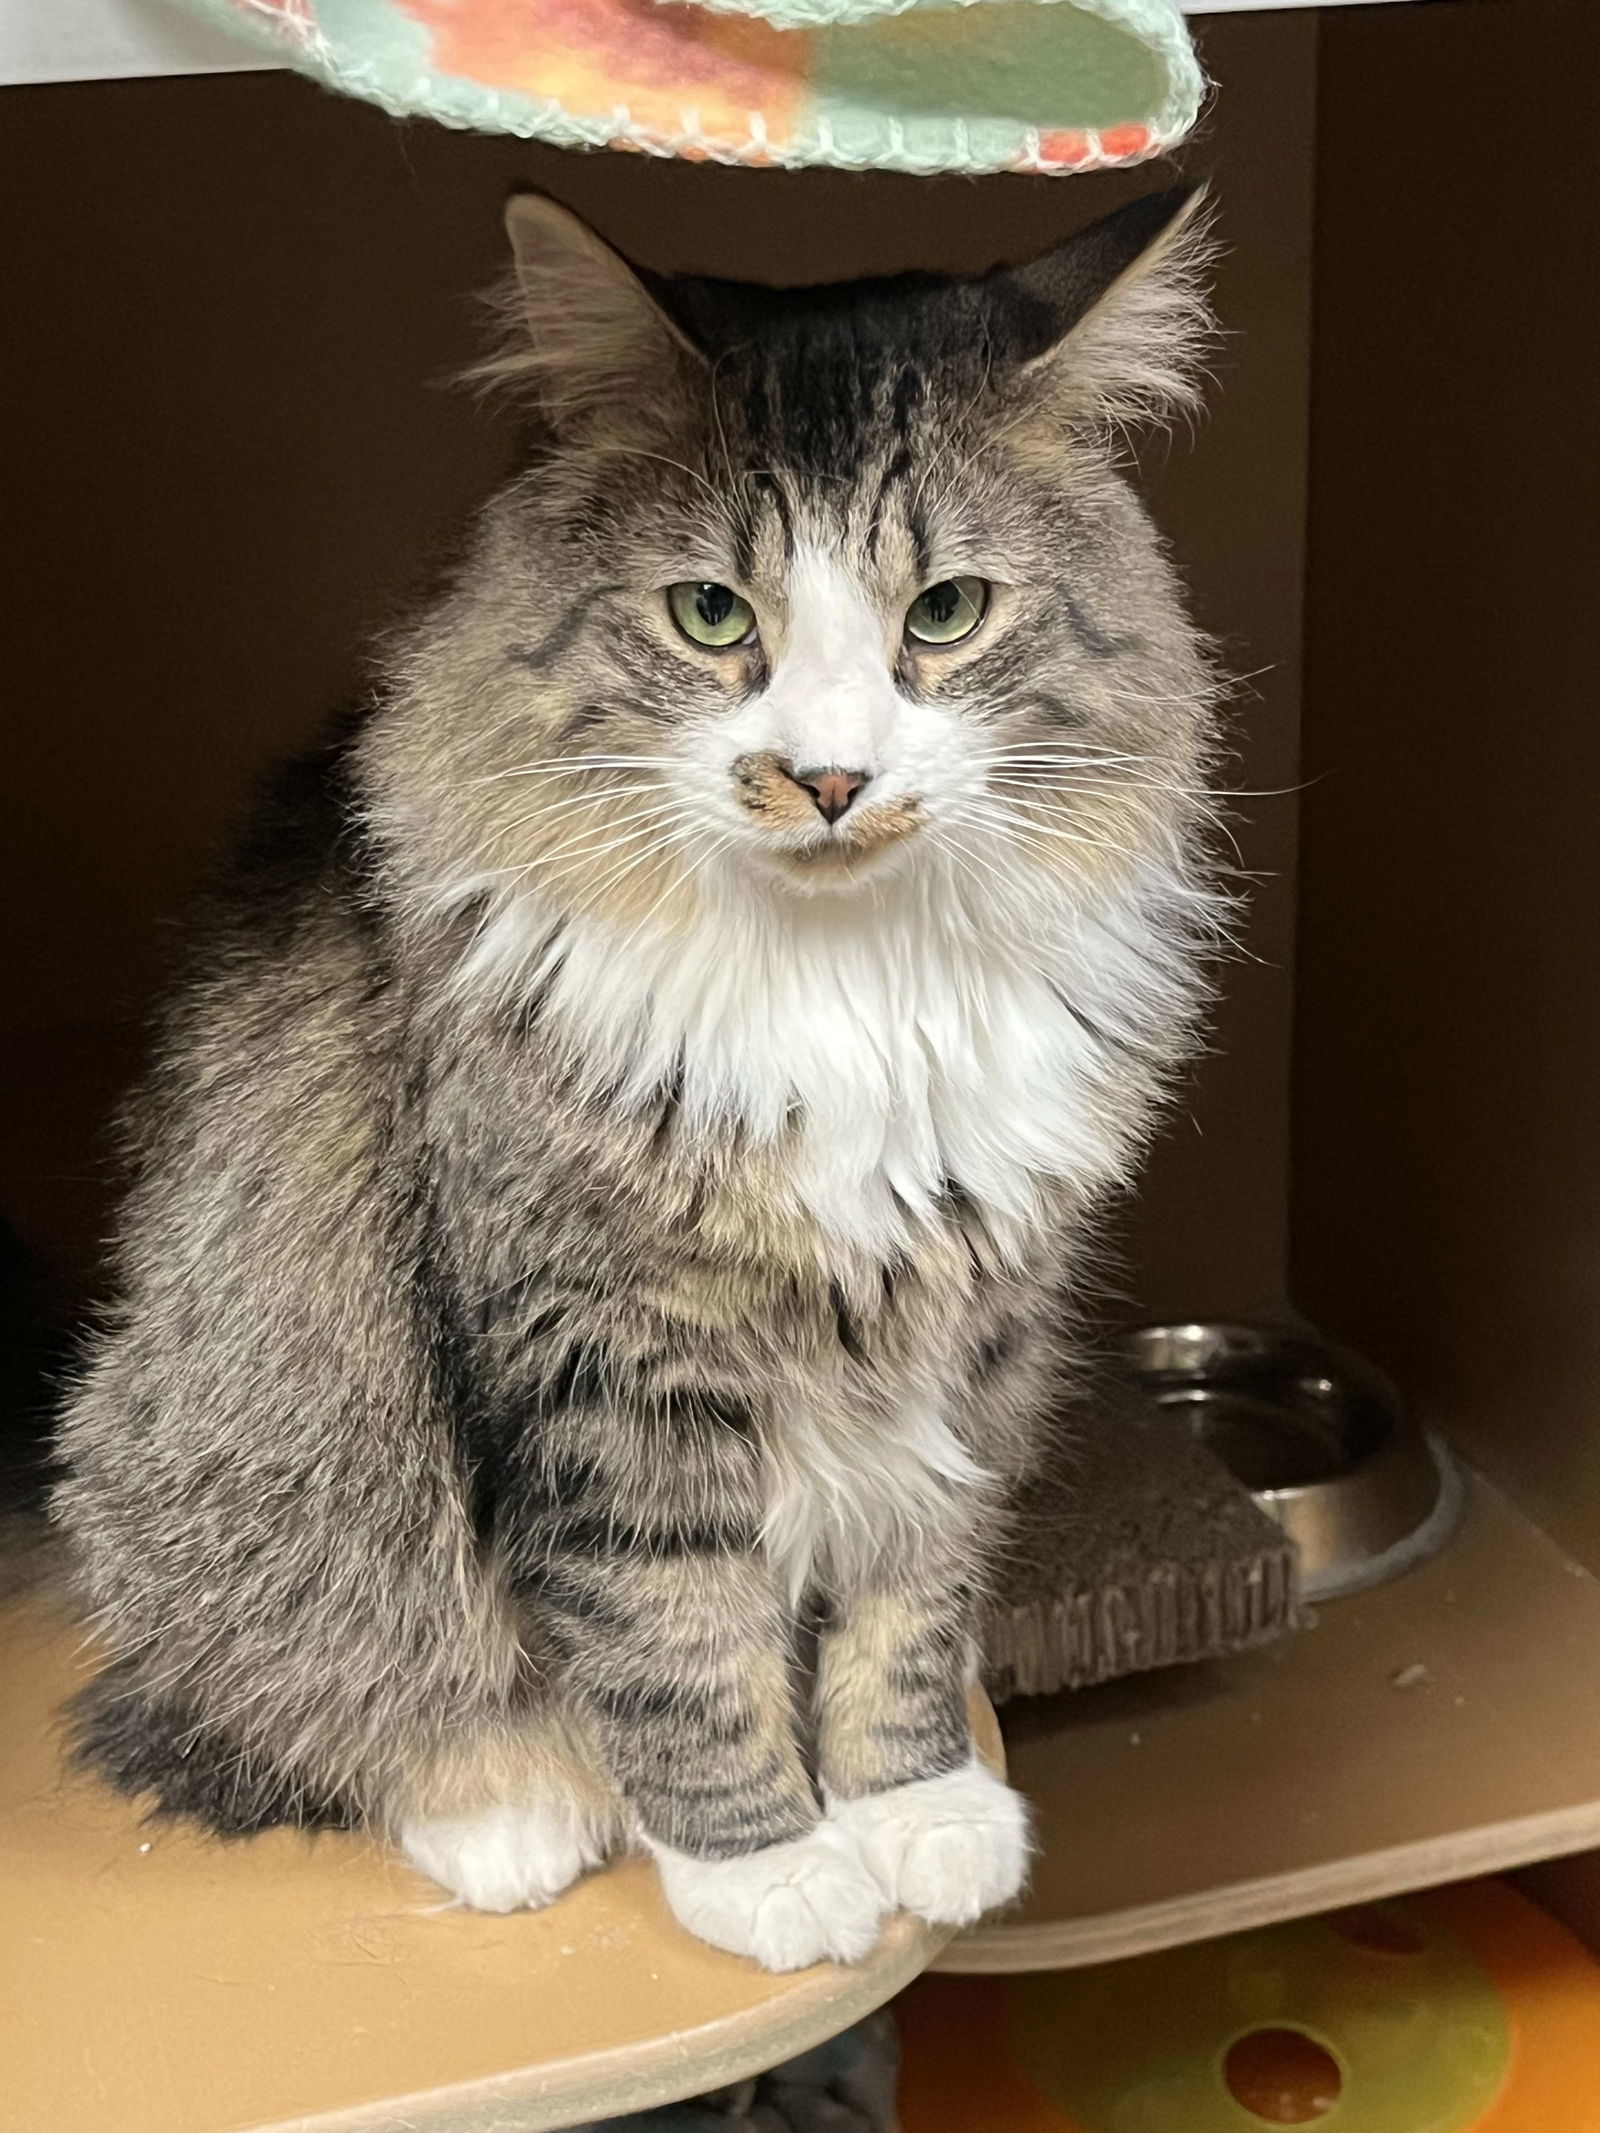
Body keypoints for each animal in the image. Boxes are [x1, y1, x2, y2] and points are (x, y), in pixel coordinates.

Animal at [53, 179, 1228, 1962]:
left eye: (945, 613)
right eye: (712, 616)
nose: (829, 777)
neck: (847, 981)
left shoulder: (976, 1335)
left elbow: (912, 1592)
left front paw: (917, 1811)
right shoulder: (600, 1353)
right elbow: (676, 1639)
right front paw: (772, 1869)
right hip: (244, 1461)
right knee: (298, 1703)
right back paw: (510, 1814)